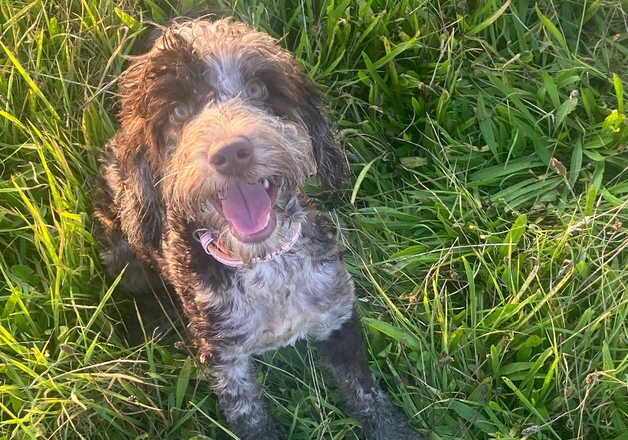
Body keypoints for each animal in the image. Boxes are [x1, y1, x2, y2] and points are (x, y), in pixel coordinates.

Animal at [93, 18, 422, 440]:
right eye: (179, 112)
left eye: (256, 90)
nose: (231, 153)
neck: (264, 264)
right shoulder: (226, 362)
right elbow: (250, 416)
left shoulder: (337, 314)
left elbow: (365, 392)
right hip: (126, 250)